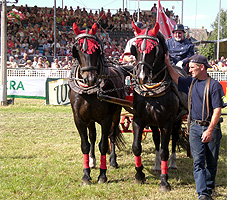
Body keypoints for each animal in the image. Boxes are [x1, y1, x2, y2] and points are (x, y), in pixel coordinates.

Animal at [69, 23, 125, 184]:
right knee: (93, 136)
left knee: (112, 135)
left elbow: (103, 144)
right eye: (77, 50)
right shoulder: (79, 119)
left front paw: (103, 175)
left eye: (96, 50)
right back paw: (93, 160)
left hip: (116, 114)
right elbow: (85, 145)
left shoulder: (106, 118)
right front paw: (86, 175)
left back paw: (112, 160)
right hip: (90, 119)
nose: (90, 79)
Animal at [129, 22, 188, 192]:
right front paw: (139, 175)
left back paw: (173, 164)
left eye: (153, 49)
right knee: (156, 139)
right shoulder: (139, 119)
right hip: (154, 123)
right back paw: (156, 166)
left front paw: (164, 181)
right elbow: (137, 147)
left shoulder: (167, 122)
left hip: (177, 120)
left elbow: (164, 151)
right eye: (135, 48)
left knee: (174, 138)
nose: (141, 77)